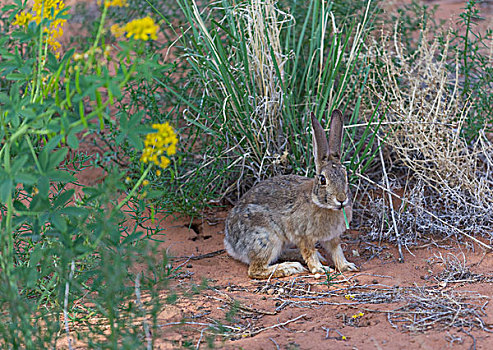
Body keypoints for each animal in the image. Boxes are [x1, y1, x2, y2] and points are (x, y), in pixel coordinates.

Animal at [224, 109, 358, 278]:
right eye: (322, 179)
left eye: (346, 175)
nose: (341, 199)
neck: (319, 203)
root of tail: (231, 243)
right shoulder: (303, 236)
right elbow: (309, 253)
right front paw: (320, 269)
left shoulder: (332, 237)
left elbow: (336, 250)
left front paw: (347, 266)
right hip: (266, 238)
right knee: (255, 270)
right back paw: (290, 267)